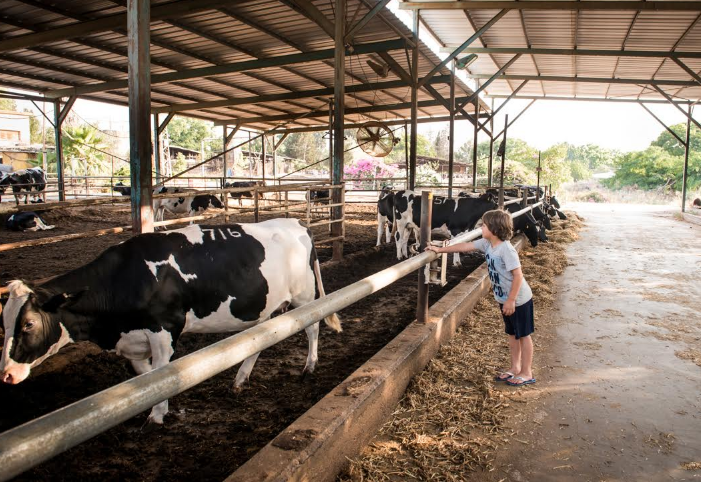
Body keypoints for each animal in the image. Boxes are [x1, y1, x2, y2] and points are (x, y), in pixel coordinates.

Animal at [2, 220, 342, 424]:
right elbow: (145, 375)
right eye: (3, 323)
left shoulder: (165, 329)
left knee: (312, 327)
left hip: (305, 296)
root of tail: (296, 223)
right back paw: (240, 380)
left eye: (28, 324)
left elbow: (161, 374)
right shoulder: (133, 341)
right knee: (259, 340)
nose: (6, 374)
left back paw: (309, 365)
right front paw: (150, 405)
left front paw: (157, 415)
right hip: (266, 307)